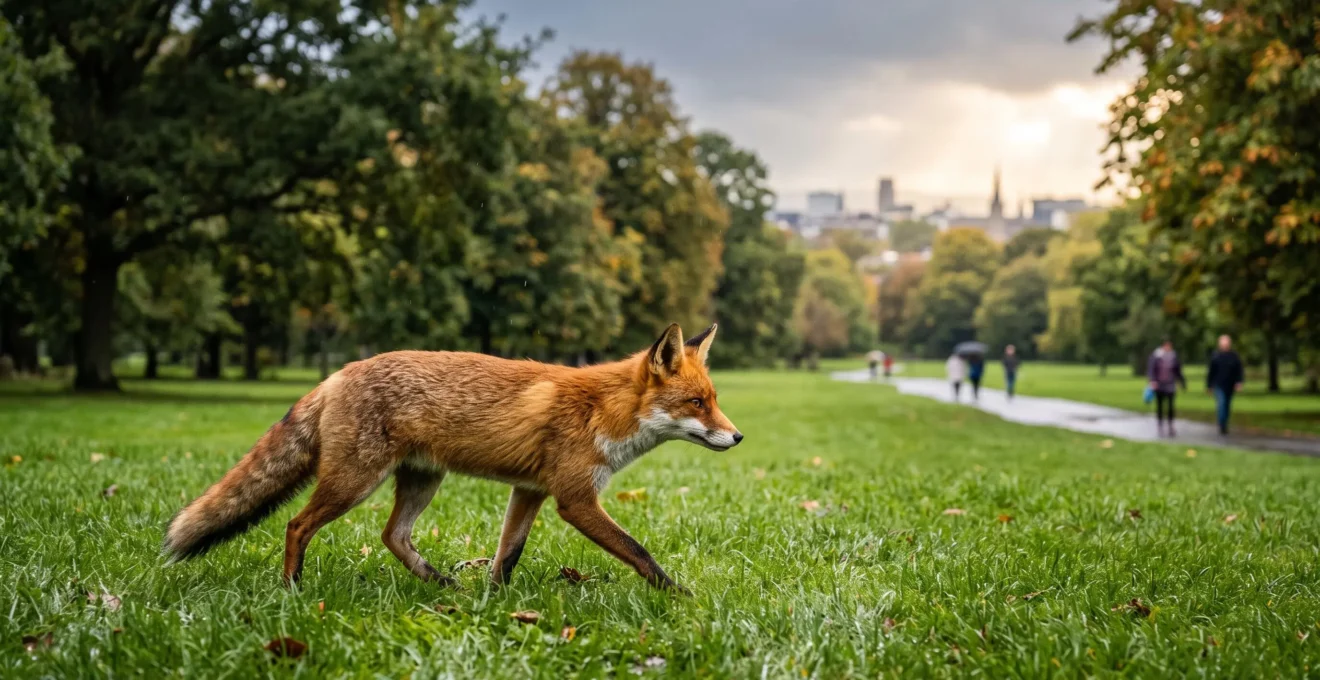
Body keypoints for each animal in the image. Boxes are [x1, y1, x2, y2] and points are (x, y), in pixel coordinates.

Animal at [163, 323, 741, 593]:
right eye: (697, 403)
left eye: (714, 399)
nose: (737, 438)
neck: (604, 410)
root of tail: (338, 372)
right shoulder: (574, 499)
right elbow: (639, 551)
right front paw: (678, 596)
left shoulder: (530, 491)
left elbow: (508, 556)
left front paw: (495, 604)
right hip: (355, 481)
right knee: (296, 525)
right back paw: (292, 590)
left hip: (422, 481)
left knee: (392, 536)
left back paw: (441, 581)